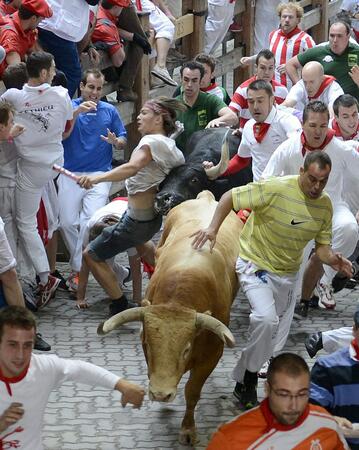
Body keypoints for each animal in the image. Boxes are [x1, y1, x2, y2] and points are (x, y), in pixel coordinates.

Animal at [97, 190, 243, 442]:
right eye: (148, 344)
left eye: (186, 349)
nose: (160, 394)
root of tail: (206, 196)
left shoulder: (213, 354)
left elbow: (192, 391)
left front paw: (188, 429)